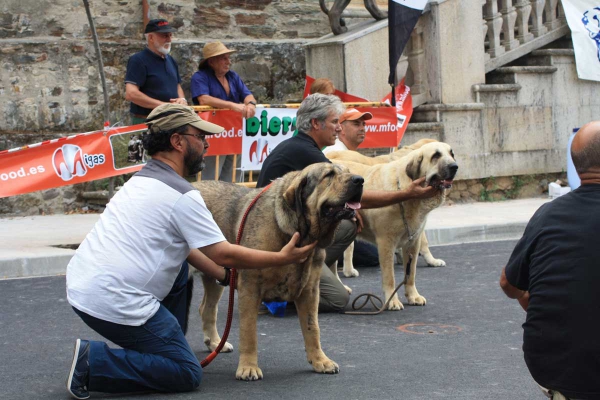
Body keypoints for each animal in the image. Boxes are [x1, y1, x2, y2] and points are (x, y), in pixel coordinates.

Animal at [193, 163, 360, 382]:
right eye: (329, 175)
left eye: (348, 172)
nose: (360, 180)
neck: (299, 232)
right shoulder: (250, 290)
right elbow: (249, 332)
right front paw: (248, 368)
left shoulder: (310, 291)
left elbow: (312, 327)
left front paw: (320, 361)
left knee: (207, 308)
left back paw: (214, 343)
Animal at [330, 142, 458, 310]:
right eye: (436, 156)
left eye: (452, 154)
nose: (455, 166)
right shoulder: (386, 243)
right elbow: (389, 276)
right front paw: (392, 301)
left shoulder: (413, 241)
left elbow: (410, 273)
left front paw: (413, 296)